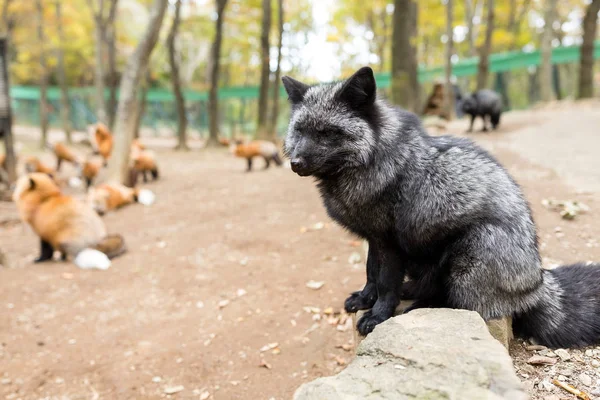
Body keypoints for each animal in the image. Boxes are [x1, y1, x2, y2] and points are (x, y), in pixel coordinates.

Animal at [282, 65, 600, 346]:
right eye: (300, 131)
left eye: (327, 133)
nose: (295, 163)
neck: (374, 160)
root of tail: (536, 284)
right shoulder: (374, 237)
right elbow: (371, 273)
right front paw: (364, 299)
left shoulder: (390, 242)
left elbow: (385, 282)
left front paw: (378, 315)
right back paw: (411, 292)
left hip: (469, 252)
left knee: (459, 303)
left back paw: (418, 306)